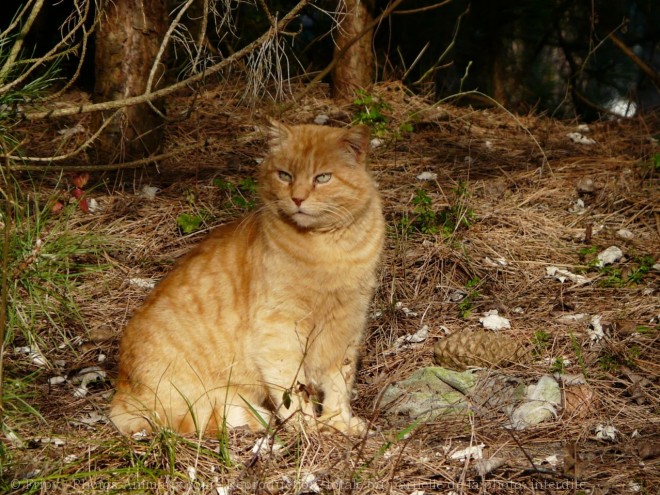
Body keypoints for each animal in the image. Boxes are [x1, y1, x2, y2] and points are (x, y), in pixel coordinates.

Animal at [111, 122, 384, 436]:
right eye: (285, 175)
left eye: (322, 178)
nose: (298, 198)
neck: (330, 251)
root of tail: (120, 391)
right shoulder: (279, 329)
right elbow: (292, 388)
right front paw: (306, 427)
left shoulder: (347, 326)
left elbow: (340, 383)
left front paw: (339, 422)